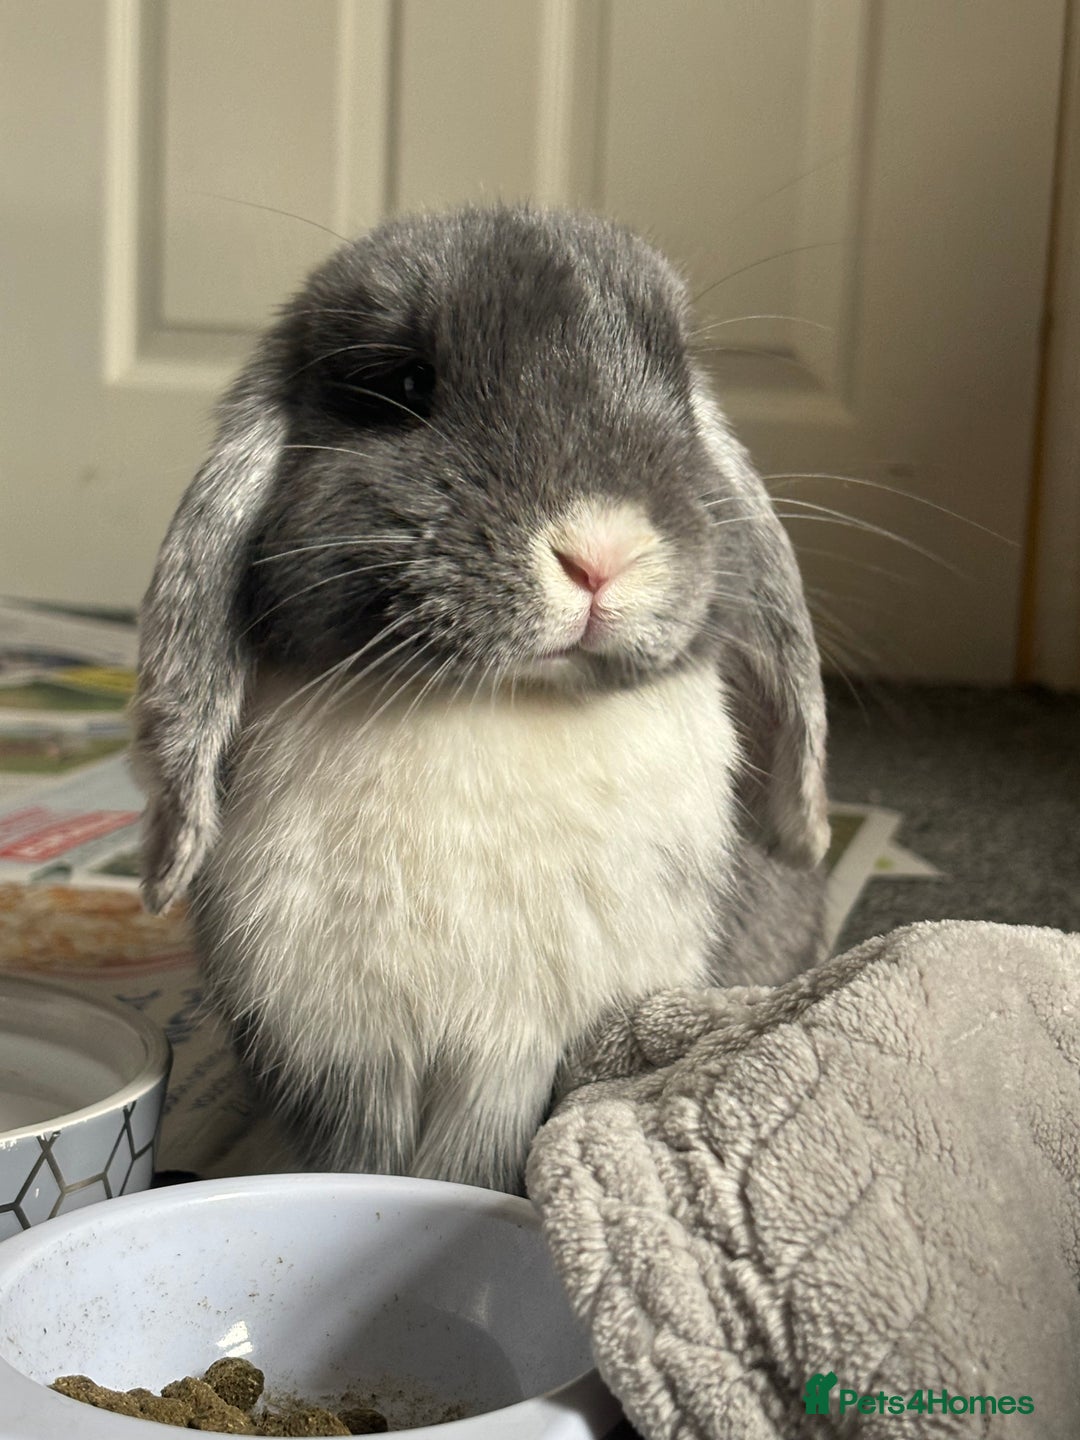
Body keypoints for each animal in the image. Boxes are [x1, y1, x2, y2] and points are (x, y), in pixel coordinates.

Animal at [133, 204, 829, 1193]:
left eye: (676, 384)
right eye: (401, 384)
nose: (602, 552)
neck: (501, 707)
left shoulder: (516, 1066)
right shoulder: (346, 1061)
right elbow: (362, 1165)